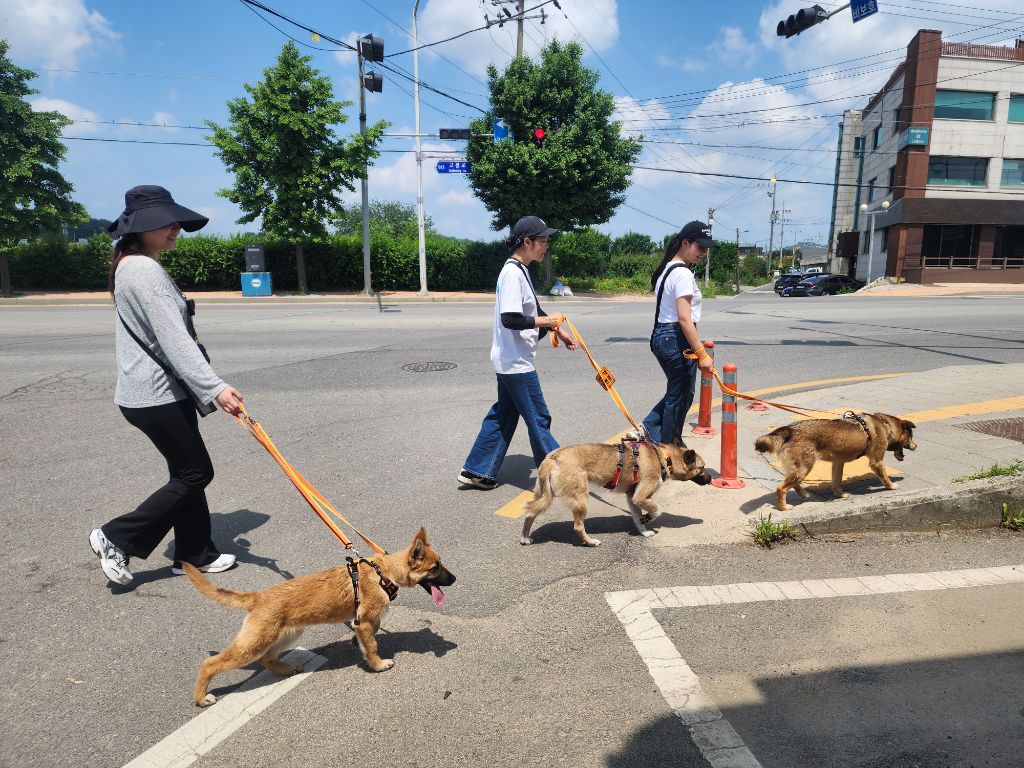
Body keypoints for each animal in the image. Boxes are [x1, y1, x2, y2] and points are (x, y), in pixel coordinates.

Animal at [184, 527, 455, 707]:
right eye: (435, 568)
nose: (454, 579)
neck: (384, 572)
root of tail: (259, 597)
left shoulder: (364, 621)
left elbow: (371, 634)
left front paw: (358, 644)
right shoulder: (365, 621)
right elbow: (373, 643)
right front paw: (377, 664)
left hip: (288, 634)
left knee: (267, 659)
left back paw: (285, 669)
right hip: (253, 644)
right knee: (211, 663)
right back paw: (201, 697)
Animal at [521, 439, 713, 547]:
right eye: (702, 468)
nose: (711, 479)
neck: (665, 457)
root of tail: (552, 458)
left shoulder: (632, 498)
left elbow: (637, 518)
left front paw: (643, 531)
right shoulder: (640, 497)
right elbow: (657, 510)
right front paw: (648, 518)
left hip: (544, 496)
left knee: (530, 514)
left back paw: (525, 537)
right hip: (580, 499)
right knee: (578, 527)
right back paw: (590, 542)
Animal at [754, 412, 917, 511]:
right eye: (911, 437)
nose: (916, 446)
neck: (884, 425)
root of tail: (790, 430)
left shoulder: (838, 463)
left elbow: (836, 481)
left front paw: (840, 495)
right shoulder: (876, 462)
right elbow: (884, 476)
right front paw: (891, 486)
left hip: (800, 469)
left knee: (793, 483)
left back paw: (804, 495)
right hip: (804, 468)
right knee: (781, 488)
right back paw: (784, 507)